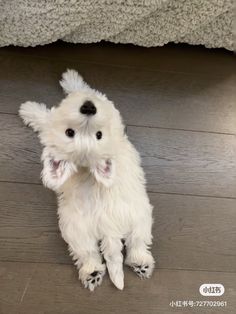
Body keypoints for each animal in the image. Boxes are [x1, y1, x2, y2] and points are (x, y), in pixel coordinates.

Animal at [18, 70, 155, 290]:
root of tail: (109, 229)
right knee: (93, 251)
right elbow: (73, 99)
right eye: (70, 132)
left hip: (133, 217)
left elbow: (79, 91)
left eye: (98, 135)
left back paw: (136, 263)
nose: (88, 108)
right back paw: (97, 272)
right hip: (81, 230)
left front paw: (68, 79)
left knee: (134, 243)